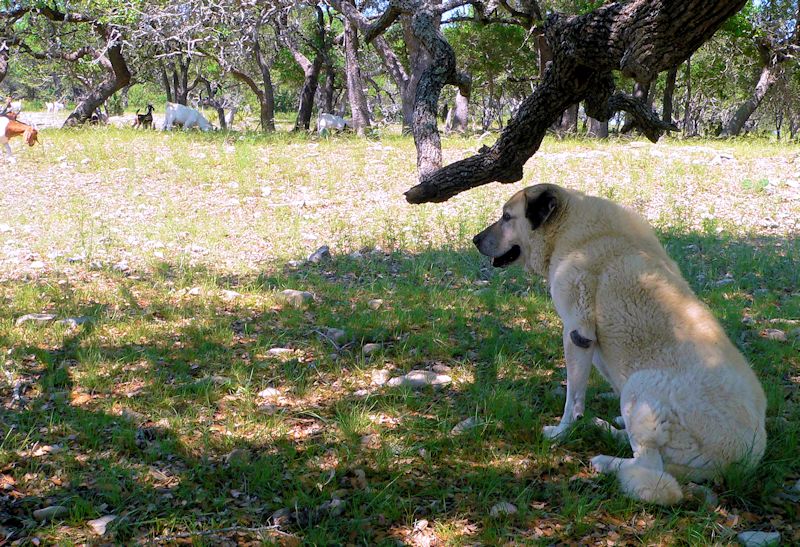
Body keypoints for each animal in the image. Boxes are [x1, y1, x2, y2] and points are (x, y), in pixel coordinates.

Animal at [476, 185, 768, 506]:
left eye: (507, 217)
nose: (475, 240)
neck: (569, 228)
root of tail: (746, 458)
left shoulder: (577, 333)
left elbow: (572, 398)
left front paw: (561, 432)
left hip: (640, 386)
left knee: (651, 469)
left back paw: (606, 462)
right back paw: (607, 428)